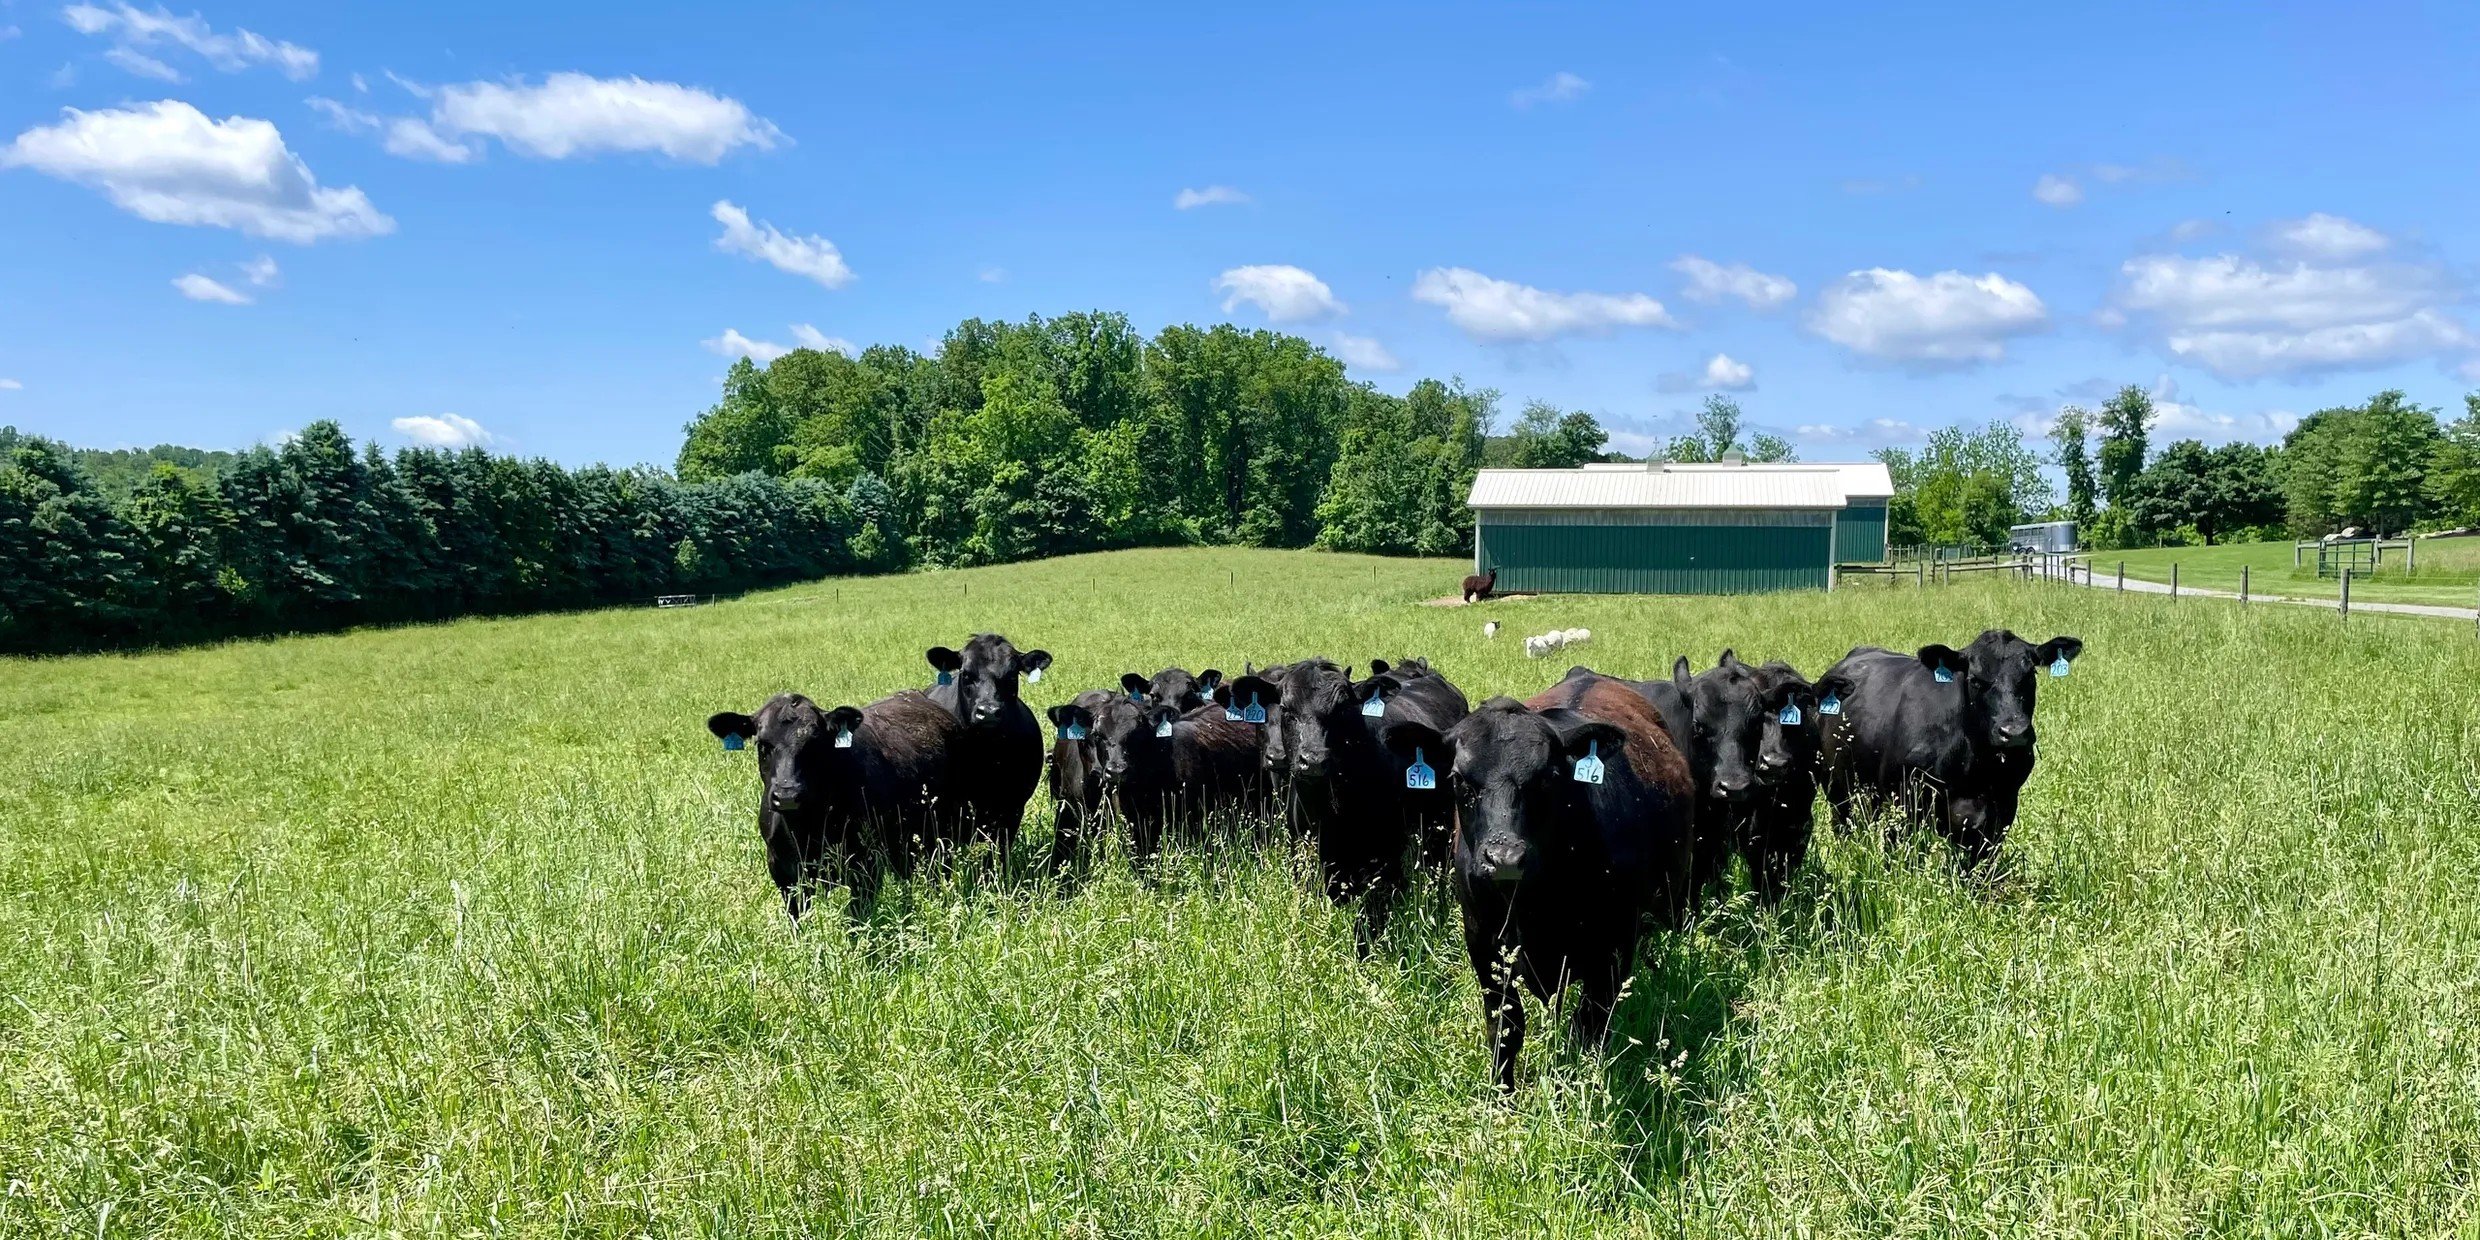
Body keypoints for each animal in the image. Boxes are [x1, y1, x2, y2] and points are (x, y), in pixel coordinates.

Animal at [706, 690, 963, 921]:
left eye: (814, 744)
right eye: (762, 745)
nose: (787, 795)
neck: (807, 830)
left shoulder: (865, 867)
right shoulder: (783, 872)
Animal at [1378, 673, 1696, 1090]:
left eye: (1548, 778)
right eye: (1459, 779)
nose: (1505, 858)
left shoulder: (1614, 948)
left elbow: (1589, 1030)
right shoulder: (1483, 942)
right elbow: (1505, 1028)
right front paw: (1501, 1095)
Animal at [1815, 630, 2085, 867]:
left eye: (2030, 675)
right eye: (1975, 680)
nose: (2014, 732)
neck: (1974, 764)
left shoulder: (2002, 810)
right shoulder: (1905, 803)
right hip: (1838, 790)